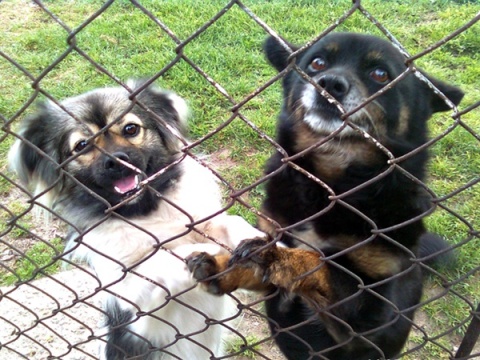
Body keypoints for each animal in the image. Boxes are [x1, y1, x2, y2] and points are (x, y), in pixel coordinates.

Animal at [8, 80, 266, 358]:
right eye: (82, 145)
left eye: (130, 129)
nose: (116, 161)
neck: (146, 211)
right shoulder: (139, 311)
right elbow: (156, 262)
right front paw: (198, 252)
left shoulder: (201, 221)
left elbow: (230, 222)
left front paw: (253, 239)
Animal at [188, 32, 464, 358]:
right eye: (317, 62)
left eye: (380, 74)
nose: (329, 83)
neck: (328, 187)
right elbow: (252, 265)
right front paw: (220, 266)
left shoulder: (370, 313)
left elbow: (321, 263)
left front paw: (275, 256)